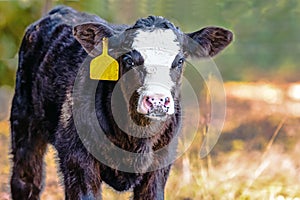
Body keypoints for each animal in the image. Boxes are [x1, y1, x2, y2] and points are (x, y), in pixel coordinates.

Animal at [9, 5, 232, 200]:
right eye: (129, 60)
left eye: (179, 61)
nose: (157, 100)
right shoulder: (77, 159)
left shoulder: (160, 163)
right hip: (23, 121)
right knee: (26, 181)